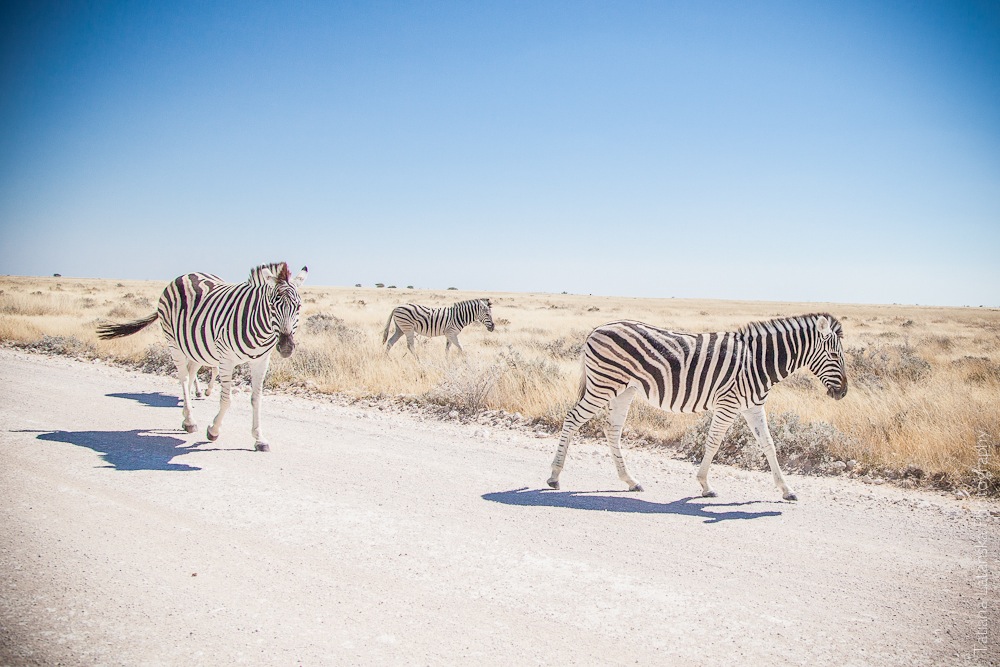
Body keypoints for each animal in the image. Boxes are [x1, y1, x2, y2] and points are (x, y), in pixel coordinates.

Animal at [98, 264, 308, 452]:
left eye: (298, 307)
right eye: (272, 306)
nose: (286, 347)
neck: (258, 326)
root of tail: (186, 274)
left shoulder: (260, 361)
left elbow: (256, 399)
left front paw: (259, 438)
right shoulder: (226, 359)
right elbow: (227, 400)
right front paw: (213, 430)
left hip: (195, 347)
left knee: (191, 373)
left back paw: (189, 409)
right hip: (174, 342)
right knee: (183, 378)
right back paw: (190, 420)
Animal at [552, 314, 848, 500]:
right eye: (835, 355)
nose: (843, 393)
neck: (757, 361)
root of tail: (597, 328)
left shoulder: (753, 406)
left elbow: (769, 445)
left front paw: (786, 489)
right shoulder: (728, 403)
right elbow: (713, 442)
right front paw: (705, 485)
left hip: (624, 389)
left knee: (612, 429)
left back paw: (630, 480)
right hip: (603, 384)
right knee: (572, 418)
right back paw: (554, 476)